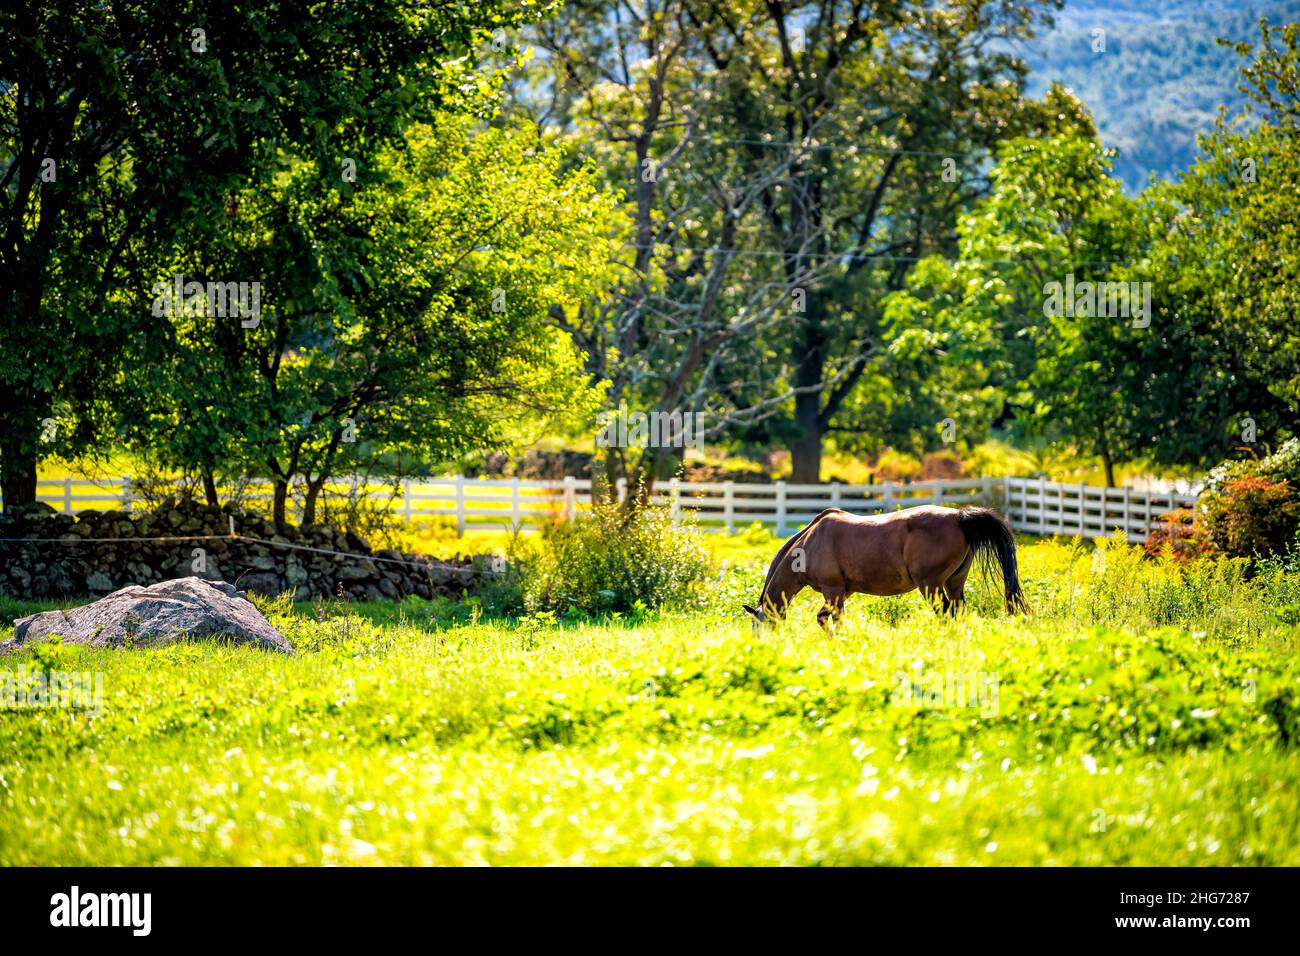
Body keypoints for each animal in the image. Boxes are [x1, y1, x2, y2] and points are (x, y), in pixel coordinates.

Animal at [743, 504, 1024, 632]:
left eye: (757, 626)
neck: (811, 541)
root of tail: (959, 517)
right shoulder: (842, 592)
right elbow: (825, 618)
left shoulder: (833, 590)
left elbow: (832, 619)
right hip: (954, 584)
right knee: (958, 611)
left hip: (931, 586)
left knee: (945, 612)